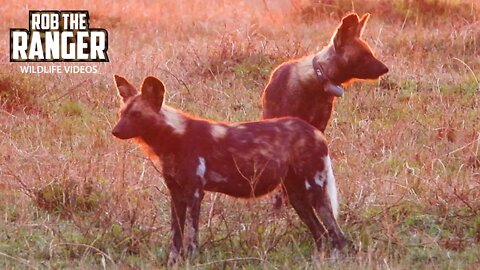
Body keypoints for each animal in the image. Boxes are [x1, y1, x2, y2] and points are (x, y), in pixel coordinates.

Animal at [111, 75, 346, 264]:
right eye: (121, 113)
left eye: (136, 115)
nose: (115, 131)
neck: (172, 138)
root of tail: (315, 132)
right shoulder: (176, 195)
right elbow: (176, 236)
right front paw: (173, 262)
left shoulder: (194, 193)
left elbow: (191, 236)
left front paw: (192, 260)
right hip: (298, 197)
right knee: (321, 235)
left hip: (315, 192)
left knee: (338, 236)